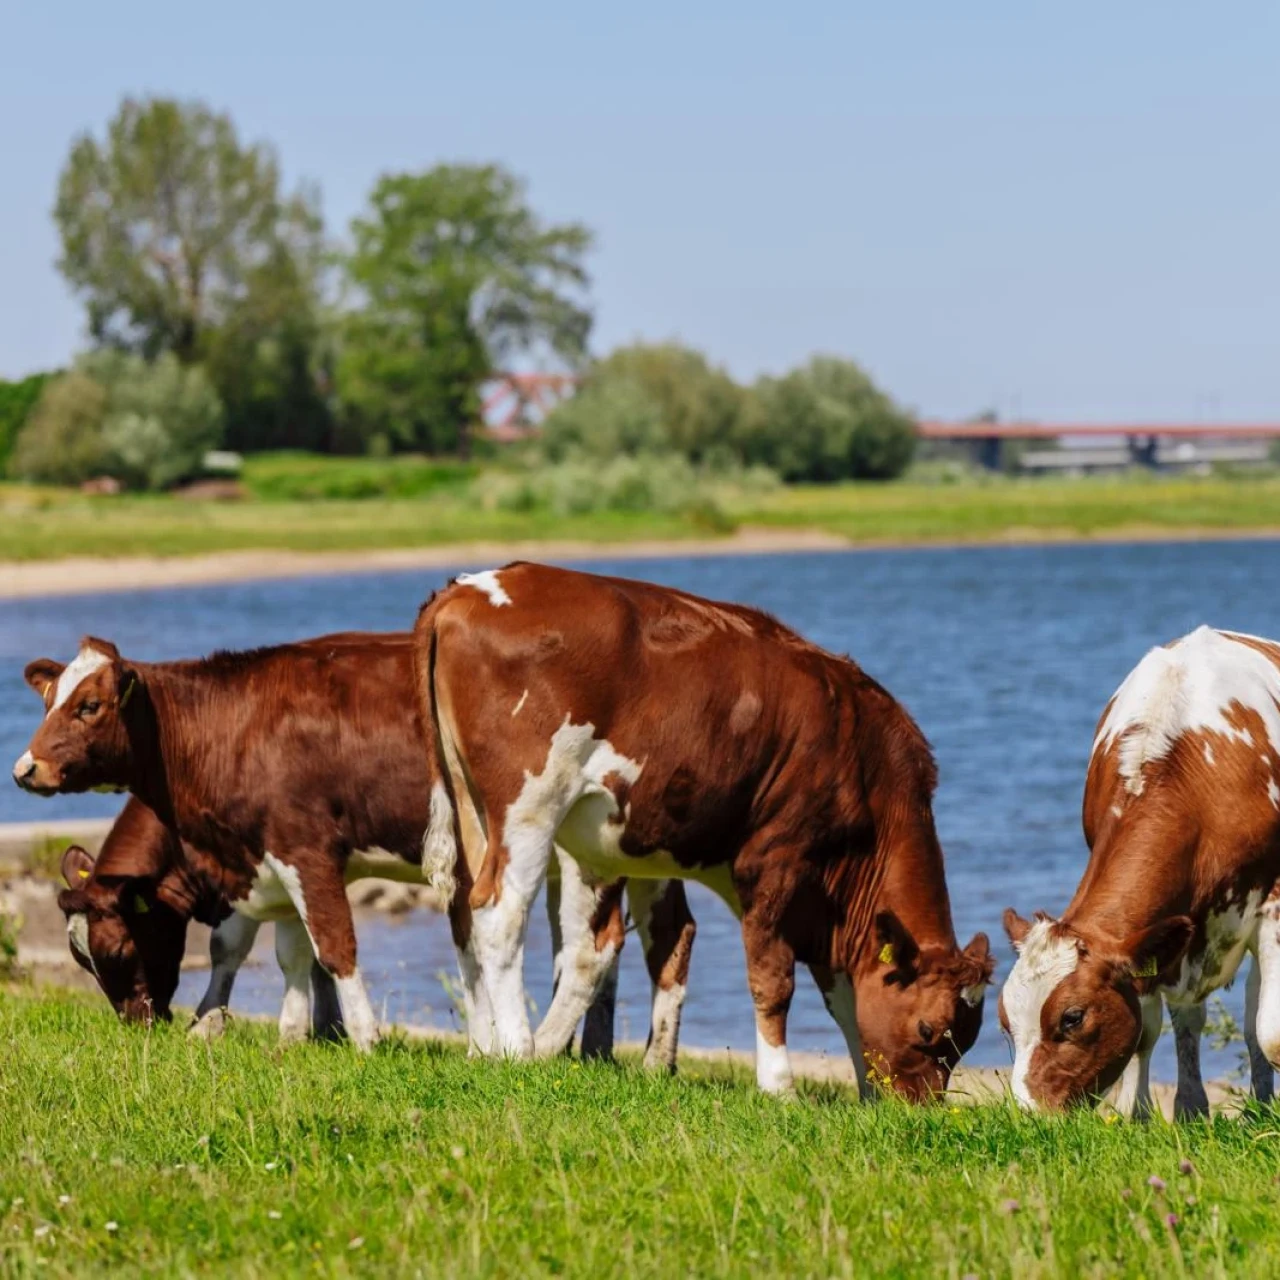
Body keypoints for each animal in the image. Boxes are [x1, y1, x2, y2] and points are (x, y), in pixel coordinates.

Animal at [16, 630, 696, 1067]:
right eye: (48, 702)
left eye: (89, 705)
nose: (25, 768)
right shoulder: (267, 860)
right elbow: (278, 950)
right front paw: (279, 1033)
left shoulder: (304, 849)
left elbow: (330, 946)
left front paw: (361, 1038)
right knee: (659, 935)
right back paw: (609, 1053)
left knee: (624, 942)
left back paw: (631, 1059)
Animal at [411, 563, 993, 1100]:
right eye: (928, 1029)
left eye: (965, 1043)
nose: (918, 1108)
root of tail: (468, 589)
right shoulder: (775, 859)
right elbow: (773, 979)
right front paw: (779, 1087)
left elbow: (843, 999)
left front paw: (866, 1094)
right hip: (529, 804)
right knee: (500, 911)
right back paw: (516, 1046)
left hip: (470, 804)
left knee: (466, 910)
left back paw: (486, 1047)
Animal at [1000, 626, 1280, 1115]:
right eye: (1004, 1020)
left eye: (1072, 1017)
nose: (1028, 1115)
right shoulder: (1151, 934)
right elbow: (1150, 1028)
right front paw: (1147, 1113)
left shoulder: (1272, 903)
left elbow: (1271, 1032)